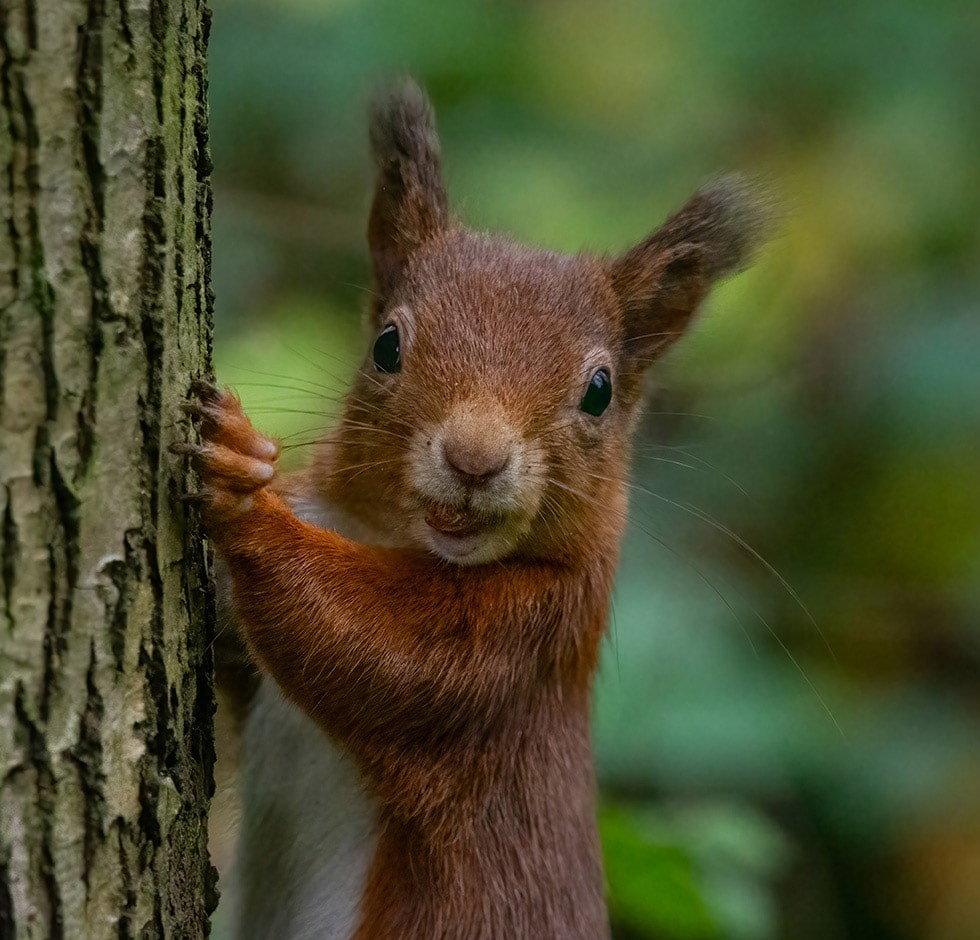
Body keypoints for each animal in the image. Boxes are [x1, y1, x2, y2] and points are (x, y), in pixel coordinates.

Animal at [181, 81, 767, 939]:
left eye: (599, 392)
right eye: (387, 345)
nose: (473, 459)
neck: (380, 533)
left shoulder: (524, 647)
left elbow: (380, 652)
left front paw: (242, 488)